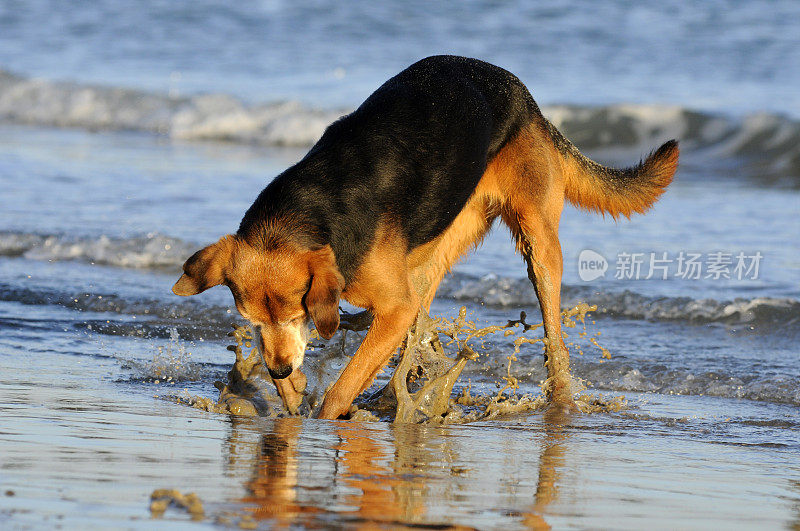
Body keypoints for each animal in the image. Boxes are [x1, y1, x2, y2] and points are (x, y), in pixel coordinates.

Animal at [172, 55, 680, 420]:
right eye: (250, 319)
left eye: (297, 309)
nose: (279, 367)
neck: (309, 207)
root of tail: (525, 97)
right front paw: (291, 395)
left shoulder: (393, 307)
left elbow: (341, 388)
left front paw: (321, 413)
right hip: (438, 248)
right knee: (420, 324)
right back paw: (396, 396)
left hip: (537, 242)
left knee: (554, 334)